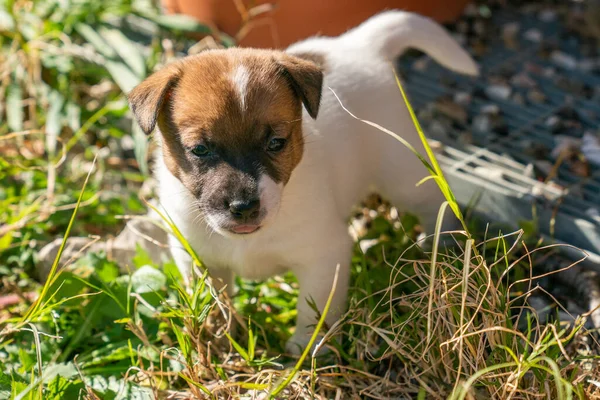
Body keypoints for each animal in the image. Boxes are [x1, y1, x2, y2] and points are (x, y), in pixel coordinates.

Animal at [127, 10, 478, 354]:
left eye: (276, 143)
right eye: (200, 149)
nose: (244, 208)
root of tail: (359, 44)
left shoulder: (324, 257)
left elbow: (315, 311)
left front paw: (307, 350)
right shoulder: (199, 261)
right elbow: (215, 305)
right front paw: (218, 339)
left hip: (401, 172)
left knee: (434, 200)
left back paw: (441, 243)